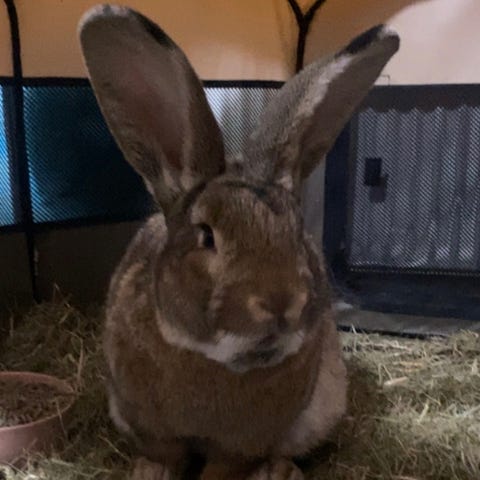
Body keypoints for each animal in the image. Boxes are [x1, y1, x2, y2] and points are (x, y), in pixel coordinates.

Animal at [78, 5, 399, 479]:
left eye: (298, 233)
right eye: (206, 236)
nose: (282, 302)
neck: (214, 358)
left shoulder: (241, 446)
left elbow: (223, 468)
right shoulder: (151, 427)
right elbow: (165, 453)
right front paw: (150, 473)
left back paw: (280, 471)